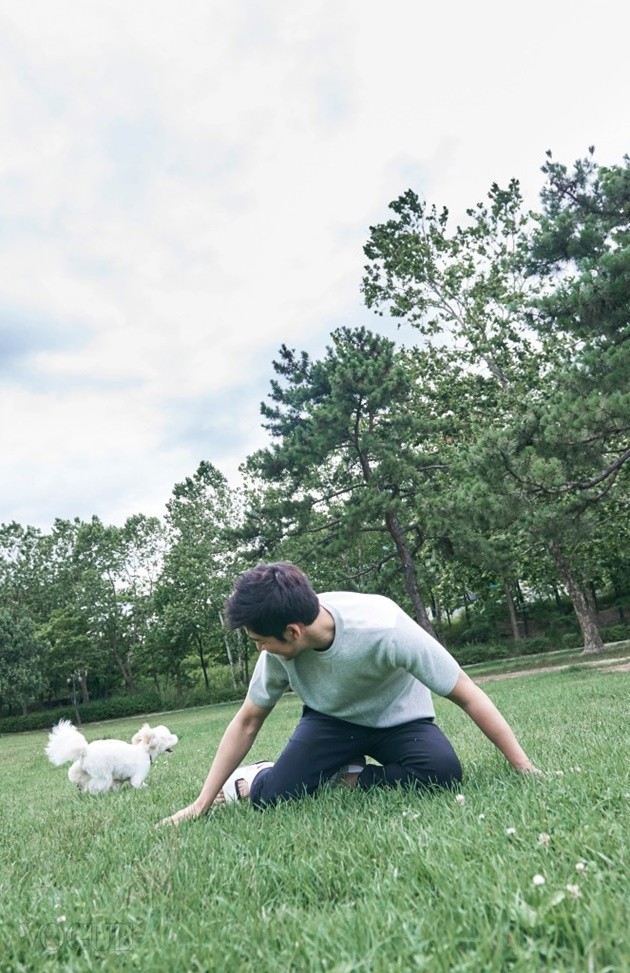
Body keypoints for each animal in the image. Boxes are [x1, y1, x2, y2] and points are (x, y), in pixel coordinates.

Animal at [45, 716, 178, 792]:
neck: (145, 751)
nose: (176, 737)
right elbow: (137, 783)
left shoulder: (117, 779)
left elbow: (116, 784)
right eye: (168, 738)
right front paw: (144, 788)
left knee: (76, 776)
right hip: (102, 774)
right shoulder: (137, 775)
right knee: (96, 785)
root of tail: (85, 750)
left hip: (83, 769)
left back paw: (81, 787)